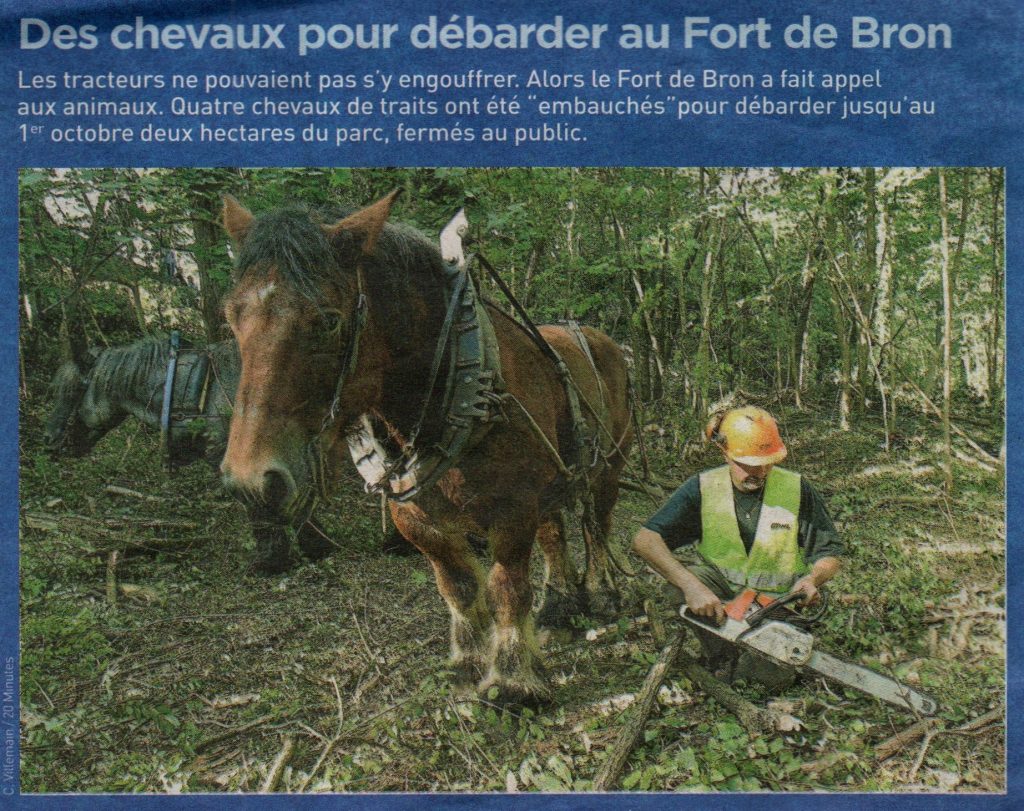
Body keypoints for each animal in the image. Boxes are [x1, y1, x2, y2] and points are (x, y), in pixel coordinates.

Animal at [220, 191, 626, 704]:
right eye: (231, 316)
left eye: (328, 321)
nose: (253, 479)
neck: (458, 383)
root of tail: (600, 337)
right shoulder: (415, 517)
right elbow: (458, 586)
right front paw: (468, 662)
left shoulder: (514, 509)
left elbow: (507, 587)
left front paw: (513, 679)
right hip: (553, 479)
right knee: (556, 534)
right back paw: (559, 607)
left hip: (610, 465)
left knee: (599, 525)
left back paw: (603, 592)